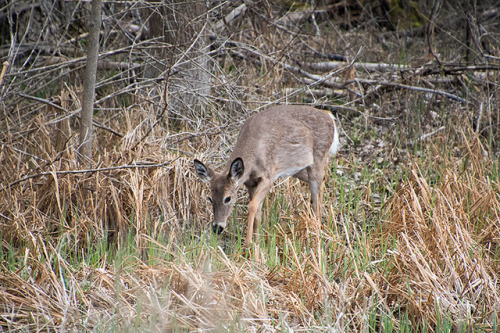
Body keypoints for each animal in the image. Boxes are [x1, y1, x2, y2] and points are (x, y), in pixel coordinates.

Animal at [192, 104, 340, 246]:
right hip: (301, 169)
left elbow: (252, 206)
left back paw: (318, 236)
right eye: (210, 198)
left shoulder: (268, 177)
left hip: (319, 157)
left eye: (228, 198)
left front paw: (247, 246)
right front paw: (257, 246)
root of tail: (330, 117)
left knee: (317, 199)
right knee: (323, 181)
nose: (217, 228)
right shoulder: (250, 183)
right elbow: (258, 212)